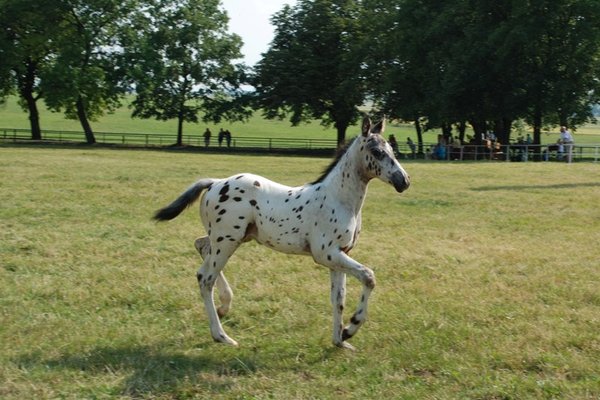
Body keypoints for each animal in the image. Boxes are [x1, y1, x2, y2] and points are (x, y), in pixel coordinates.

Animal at [152, 115, 410, 346]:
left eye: (392, 149)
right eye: (377, 152)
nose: (404, 181)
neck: (339, 199)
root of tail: (215, 183)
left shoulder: (339, 255)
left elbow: (338, 298)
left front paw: (340, 340)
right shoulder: (326, 253)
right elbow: (368, 276)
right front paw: (352, 327)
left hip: (230, 237)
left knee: (201, 248)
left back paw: (225, 305)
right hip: (227, 239)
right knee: (206, 278)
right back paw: (222, 336)